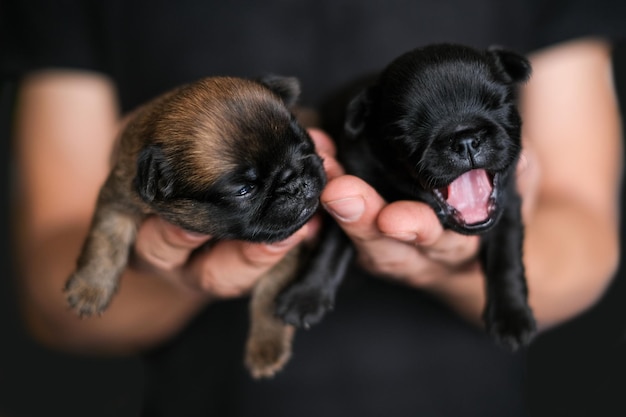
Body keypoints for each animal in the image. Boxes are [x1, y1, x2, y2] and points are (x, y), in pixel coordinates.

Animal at [63, 75, 326, 376]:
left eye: (305, 144)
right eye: (244, 190)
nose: (295, 182)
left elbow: (270, 294)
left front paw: (266, 346)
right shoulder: (118, 197)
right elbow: (105, 241)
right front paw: (90, 287)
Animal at [278, 43, 536, 348]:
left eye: (501, 104)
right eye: (408, 130)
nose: (465, 139)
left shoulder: (508, 204)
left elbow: (506, 255)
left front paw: (512, 316)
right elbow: (330, 244)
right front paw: (305, 295)